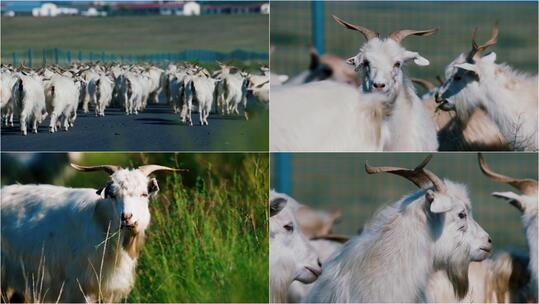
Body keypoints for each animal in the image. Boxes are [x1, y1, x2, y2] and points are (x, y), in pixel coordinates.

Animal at [0, 164, 185, 302]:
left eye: (144, 194)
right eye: (112, 195)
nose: (127, 217)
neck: (101, 219)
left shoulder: (108, 290)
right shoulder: (79, 288)